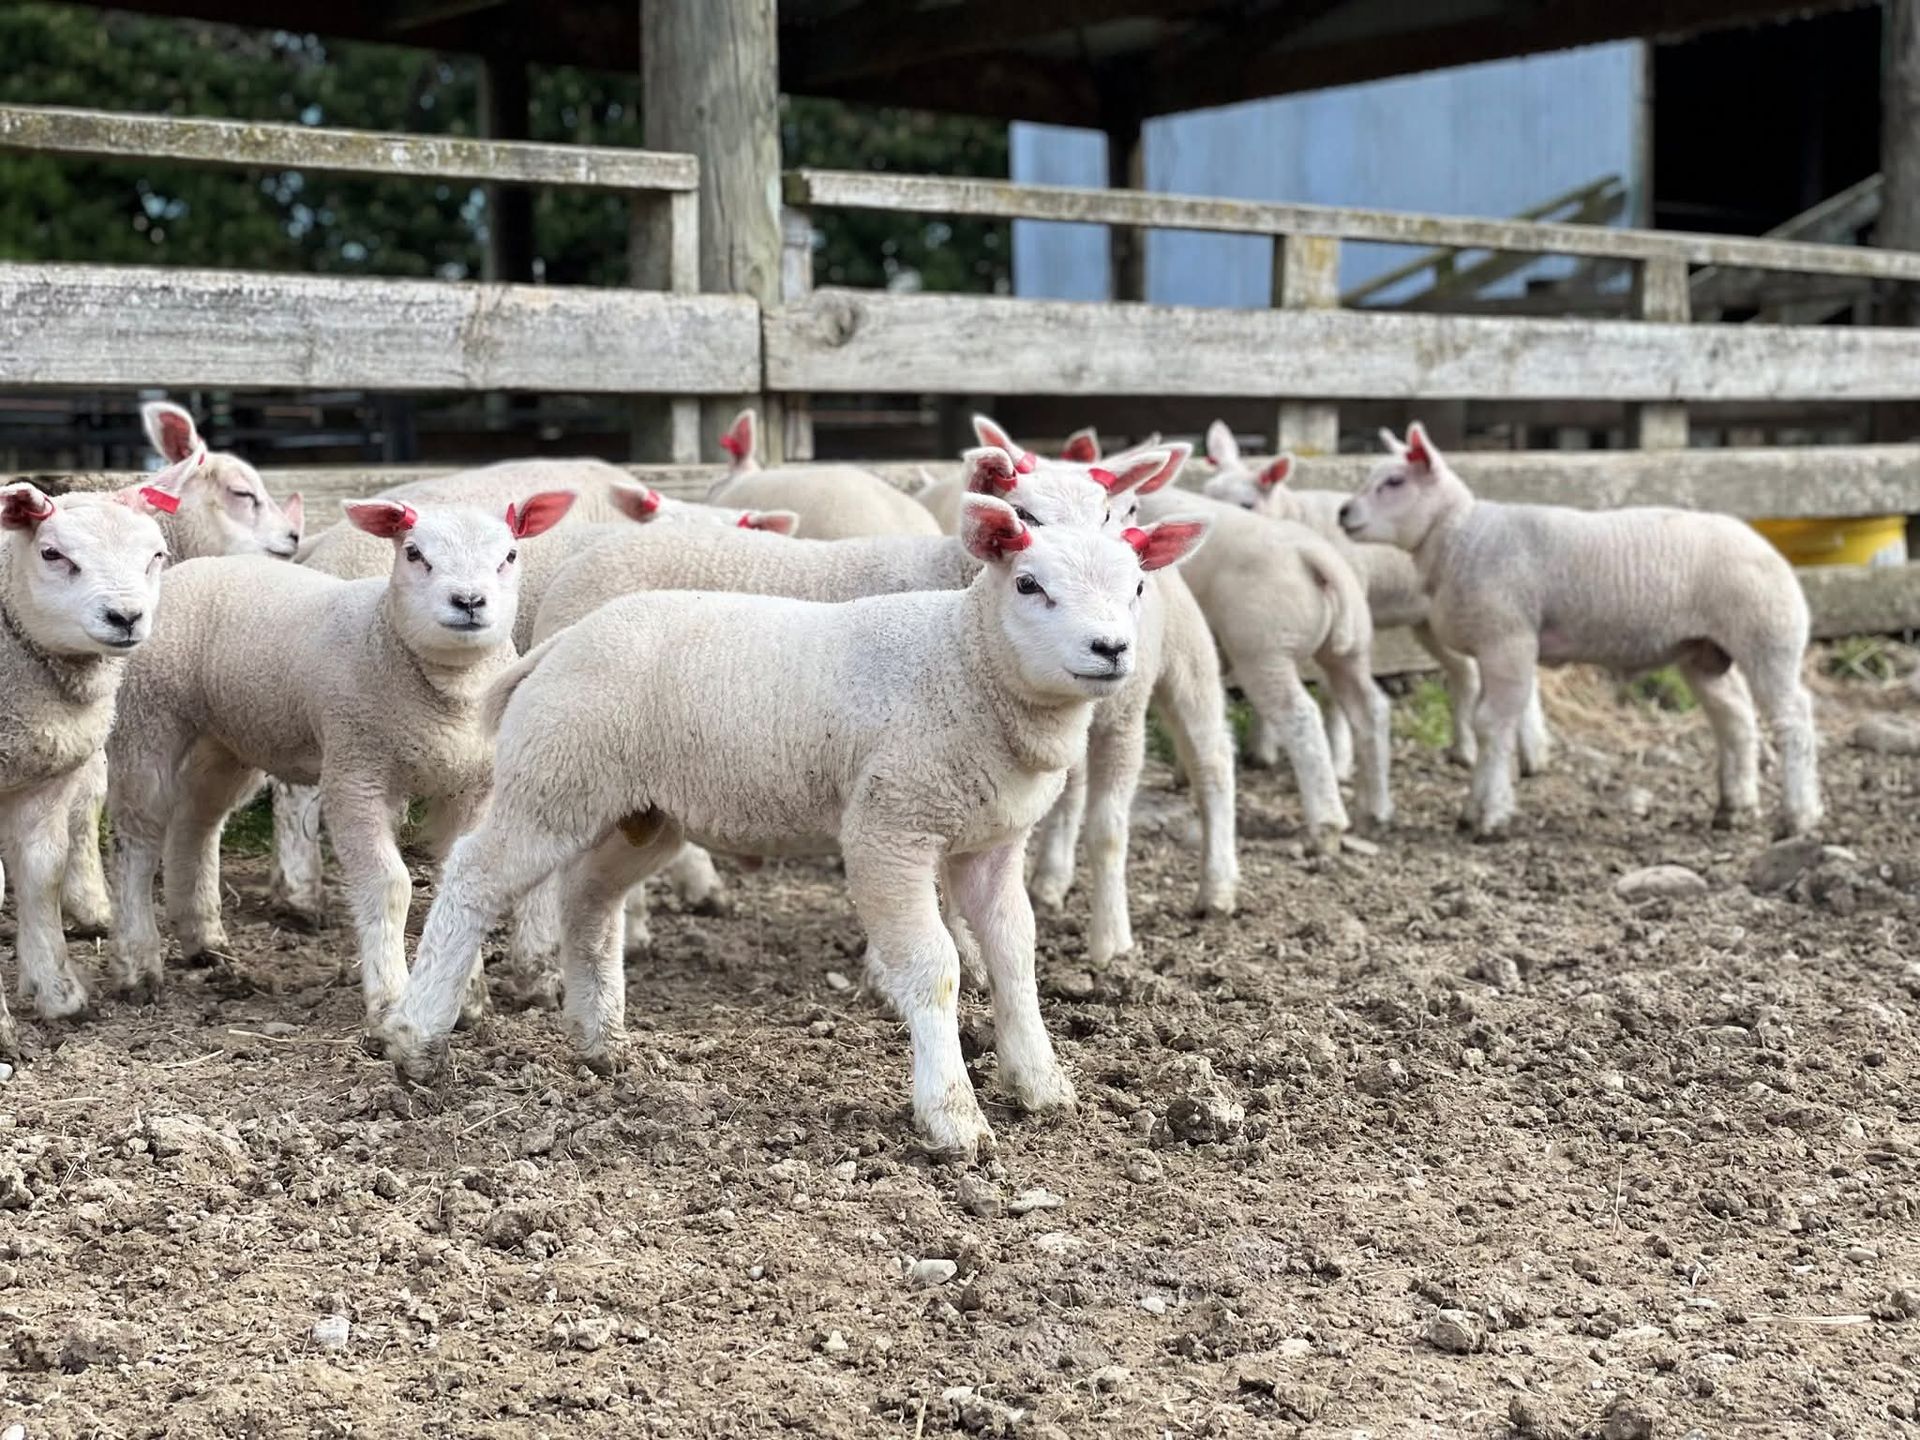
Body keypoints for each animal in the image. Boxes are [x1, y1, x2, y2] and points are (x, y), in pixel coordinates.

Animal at [0, 458, 196, 1047]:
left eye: (156, 555)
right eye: (52, 554)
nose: (125, 616)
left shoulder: (45, 774)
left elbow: (42, 872)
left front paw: (58, 994)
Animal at [106, 490, 576, 1020]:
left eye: (510, 555)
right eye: (413, 553)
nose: (470, 602)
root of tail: (193, 567)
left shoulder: (472, 786)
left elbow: (461, 879)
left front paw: (468, 1001)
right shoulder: (356, 771)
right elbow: (389, 884)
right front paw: (389, 999)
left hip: (228, 736)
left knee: (196, 821)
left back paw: (206, 942)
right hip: (149, 716)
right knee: (137, 837)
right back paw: (138, 966)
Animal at [379, 493, 1211, 1158]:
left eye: (1138, 585)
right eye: (1031, 584)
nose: (1112, 649)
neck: (963, 664)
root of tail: (555, 646)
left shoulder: (991, 843)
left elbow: (1015, 952)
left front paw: (1040, 1081)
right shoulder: (889, 827)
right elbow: (934, 967)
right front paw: (953, 1117)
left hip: (641, 809)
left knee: (589, 897)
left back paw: (598, 1038)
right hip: (555, 777)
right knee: (473, 877)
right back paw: (416, 1036)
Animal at [1200, 420, 1551, 774]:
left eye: (1247, 504)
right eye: (1205, 495)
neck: (1297, 516)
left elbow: (1331, 696)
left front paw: (1339, 762)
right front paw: (1262, 751)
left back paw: (1533, 753)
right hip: (1431, 622)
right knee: (1465, 672)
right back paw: (1464, 749)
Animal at [1339, 423, 1822, 838]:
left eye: (1394, 481)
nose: (1343, 513)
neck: (1460, 537)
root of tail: (1768, 547)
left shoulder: (1508, 640)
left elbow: (1493, 725)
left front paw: (1489, 816)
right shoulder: (1492, 646)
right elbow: (1487, 723)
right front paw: (1478, 809)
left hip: (1769, 637)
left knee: (1793, 716)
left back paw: (1799, 816)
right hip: (1704, 652)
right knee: (1735, 717)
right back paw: (1734, 809)